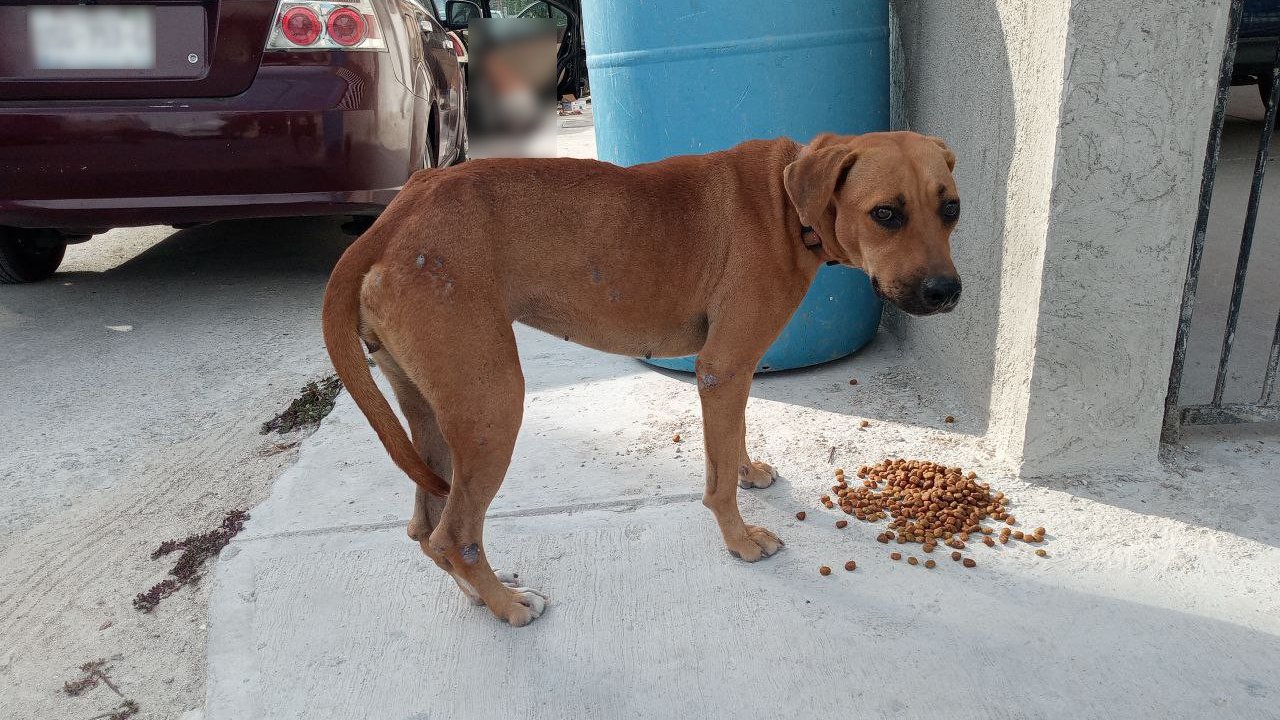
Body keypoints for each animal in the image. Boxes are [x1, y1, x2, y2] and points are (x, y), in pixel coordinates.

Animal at [320, 128, 962, 622]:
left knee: (424, 528)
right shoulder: (722, 368)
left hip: (433, 411)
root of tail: (393, 218)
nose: (946, 292)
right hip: (492, 408)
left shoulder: (733, 372)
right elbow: (717, 482)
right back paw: (509, 605)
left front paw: (748, 469)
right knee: (455, 534)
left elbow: (734, 437)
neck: (787, 206)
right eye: (886, 214)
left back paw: (478, 595)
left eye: (951, 207)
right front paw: (739, 540)